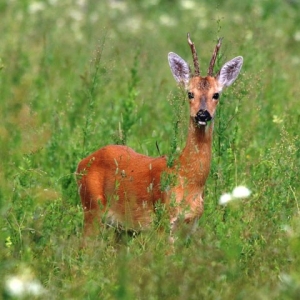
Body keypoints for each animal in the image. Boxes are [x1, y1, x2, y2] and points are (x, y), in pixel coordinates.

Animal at [76, 34, 243, 241]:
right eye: (190, 93)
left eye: (216, 94)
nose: (202, 114)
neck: (187, 178)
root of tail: (81, 163)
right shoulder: (164, 220)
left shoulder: (190, 227)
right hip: (92, 208)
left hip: (119, 228)